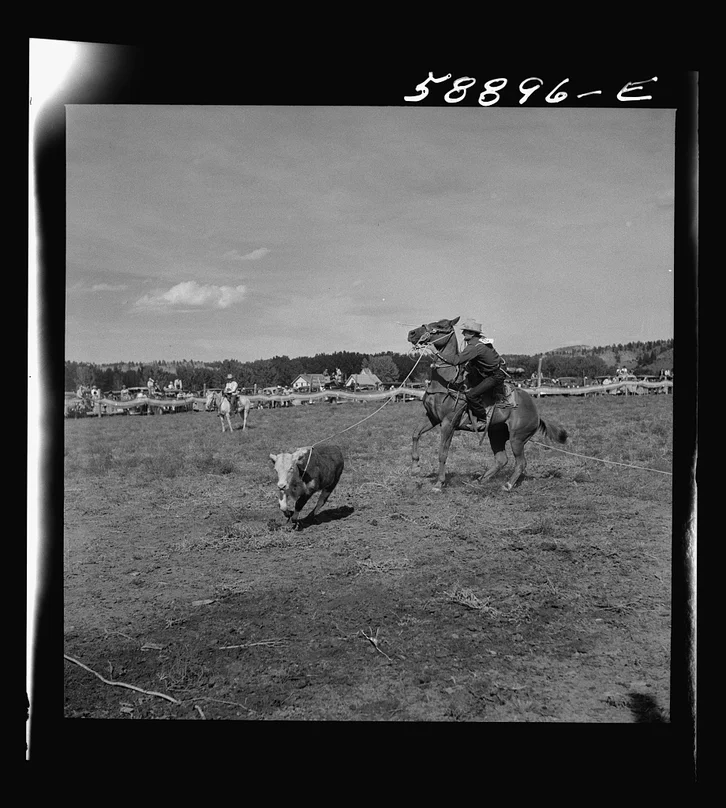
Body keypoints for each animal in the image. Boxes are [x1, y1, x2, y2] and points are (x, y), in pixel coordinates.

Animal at [410, 316, 568, 492]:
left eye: (440, 325)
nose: (412, 333)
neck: (447, 383)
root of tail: (537, 414)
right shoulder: (432, 417)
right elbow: (415, 434)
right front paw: (415, 467)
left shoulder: (448, 423)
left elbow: (442, 453)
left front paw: (439, 483)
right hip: (496, 433)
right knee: (501, 459)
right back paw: (480, 480)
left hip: (517, 438)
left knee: (521, 463)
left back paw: (507, 485)